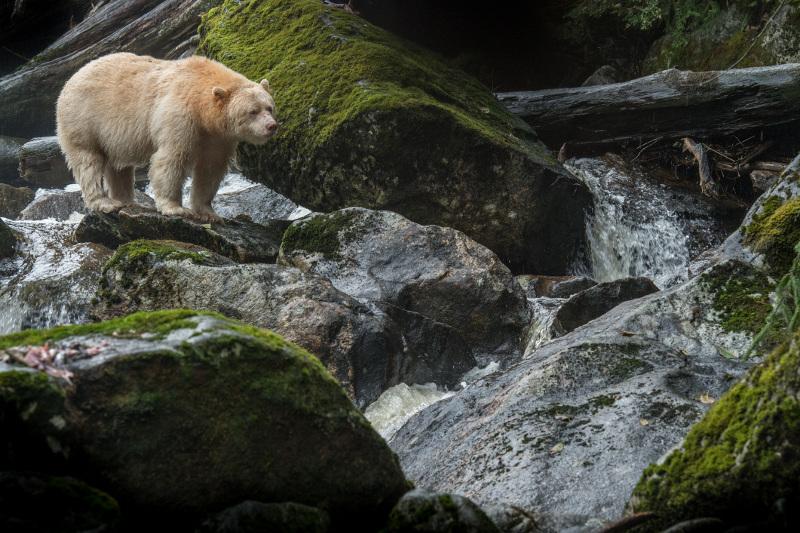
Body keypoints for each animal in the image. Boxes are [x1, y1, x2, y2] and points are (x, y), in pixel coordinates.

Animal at [56, 52, 278, 222]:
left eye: (269, 107)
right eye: (252, 111)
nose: (271, 126)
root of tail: (71, 78)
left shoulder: (218, 137)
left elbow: (210, 169)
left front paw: (209, 213)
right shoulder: (180, 115)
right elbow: (172, 158)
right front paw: (176, 208)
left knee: (118, 167)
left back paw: (127, 200)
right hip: (84, 119)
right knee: (88, 161)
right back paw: (105, 203)